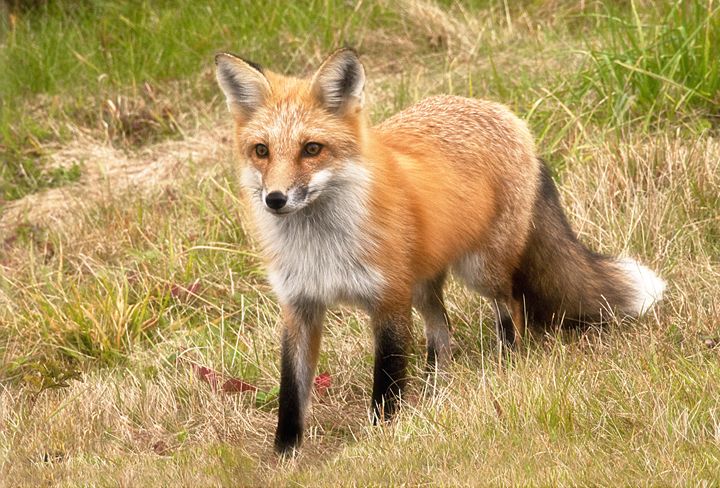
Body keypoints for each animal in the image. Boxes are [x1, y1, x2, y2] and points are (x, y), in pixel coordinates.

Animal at [215, 48, 668, 454]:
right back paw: (436, 392)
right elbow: (291, 394)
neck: (320, 248)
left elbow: (387, 383)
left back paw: (503, 368)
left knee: (512, 308)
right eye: (261, 151)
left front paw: (381, 439)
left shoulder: (389, 301)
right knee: (442, 333)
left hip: (479, 271)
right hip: (423, 286)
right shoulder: (300, 306)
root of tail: (505, 114)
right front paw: (284, 456)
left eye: (312, 149)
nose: (275, 199)